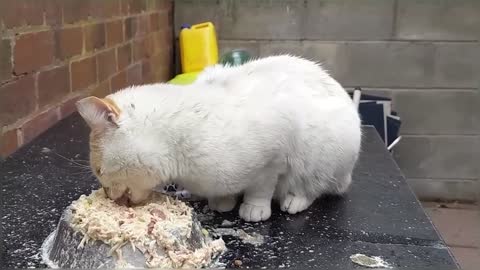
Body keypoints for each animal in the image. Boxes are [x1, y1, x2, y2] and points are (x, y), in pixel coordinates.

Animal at [76, 54, 360, 221]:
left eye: (99, 171)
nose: (107, 195)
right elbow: (224, 193)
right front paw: (222, 202)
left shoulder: (273, 159)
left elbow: (261, 187)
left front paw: (254, 208)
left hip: (327, 153)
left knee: (314, 186)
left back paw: (294, 200)